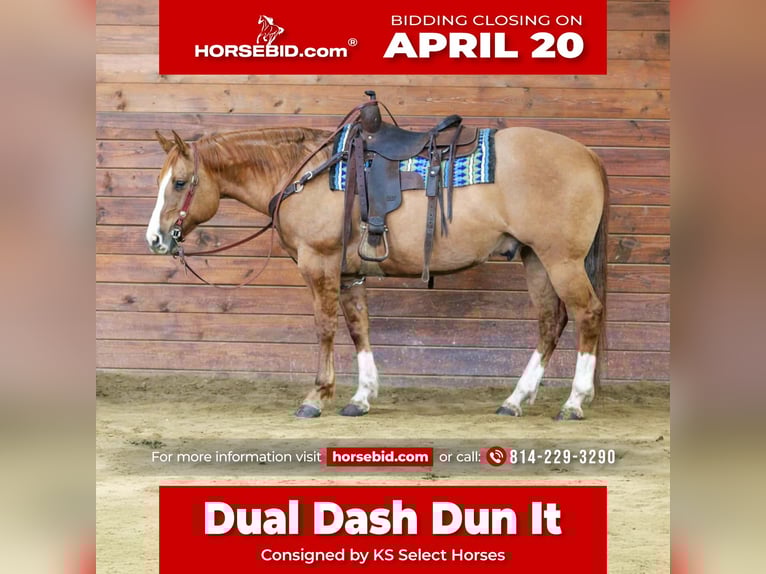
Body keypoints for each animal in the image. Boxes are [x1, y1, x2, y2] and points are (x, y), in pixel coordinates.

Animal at [146, 110, 609, 421]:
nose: (155, 239)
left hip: (561, 260)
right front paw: (361, 396)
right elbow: (358, 328)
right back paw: (515, 400)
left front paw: (317, 397)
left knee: (588, 314)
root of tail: (588, 154)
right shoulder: (351, 274)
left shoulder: (320, 263)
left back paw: (574, 402)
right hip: (535, 258)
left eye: (180, 183)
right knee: (550, 321)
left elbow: (325, 327)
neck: (304, 175)